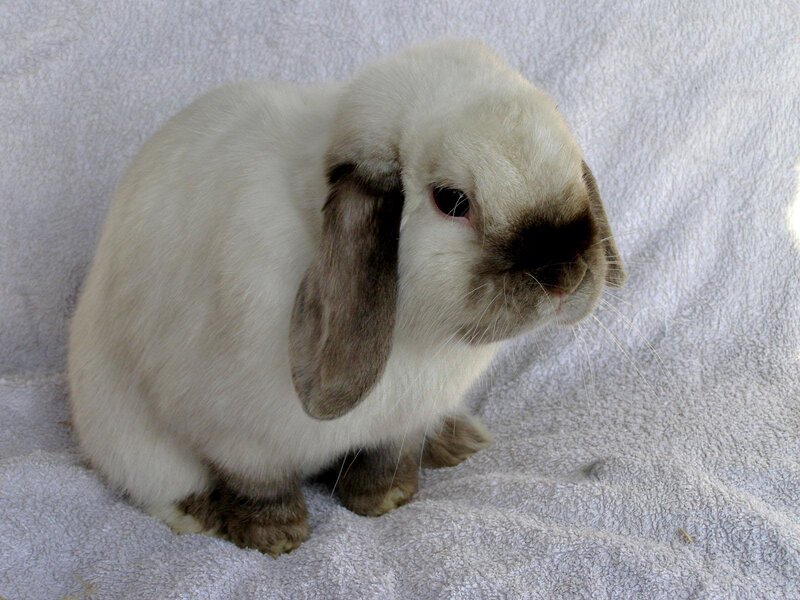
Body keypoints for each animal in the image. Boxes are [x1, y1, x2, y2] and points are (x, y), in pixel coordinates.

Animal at [67, 39, 625, 556]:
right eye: (451, 201)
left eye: (573, 172)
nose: (564, 276)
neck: (418, 338)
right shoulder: (239, 437)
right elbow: (258, 486)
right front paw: (276, 538)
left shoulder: (400, 424)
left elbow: (387, 459)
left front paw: (386, 500)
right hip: (131, 440)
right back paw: (198, 514)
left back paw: (460, 441)